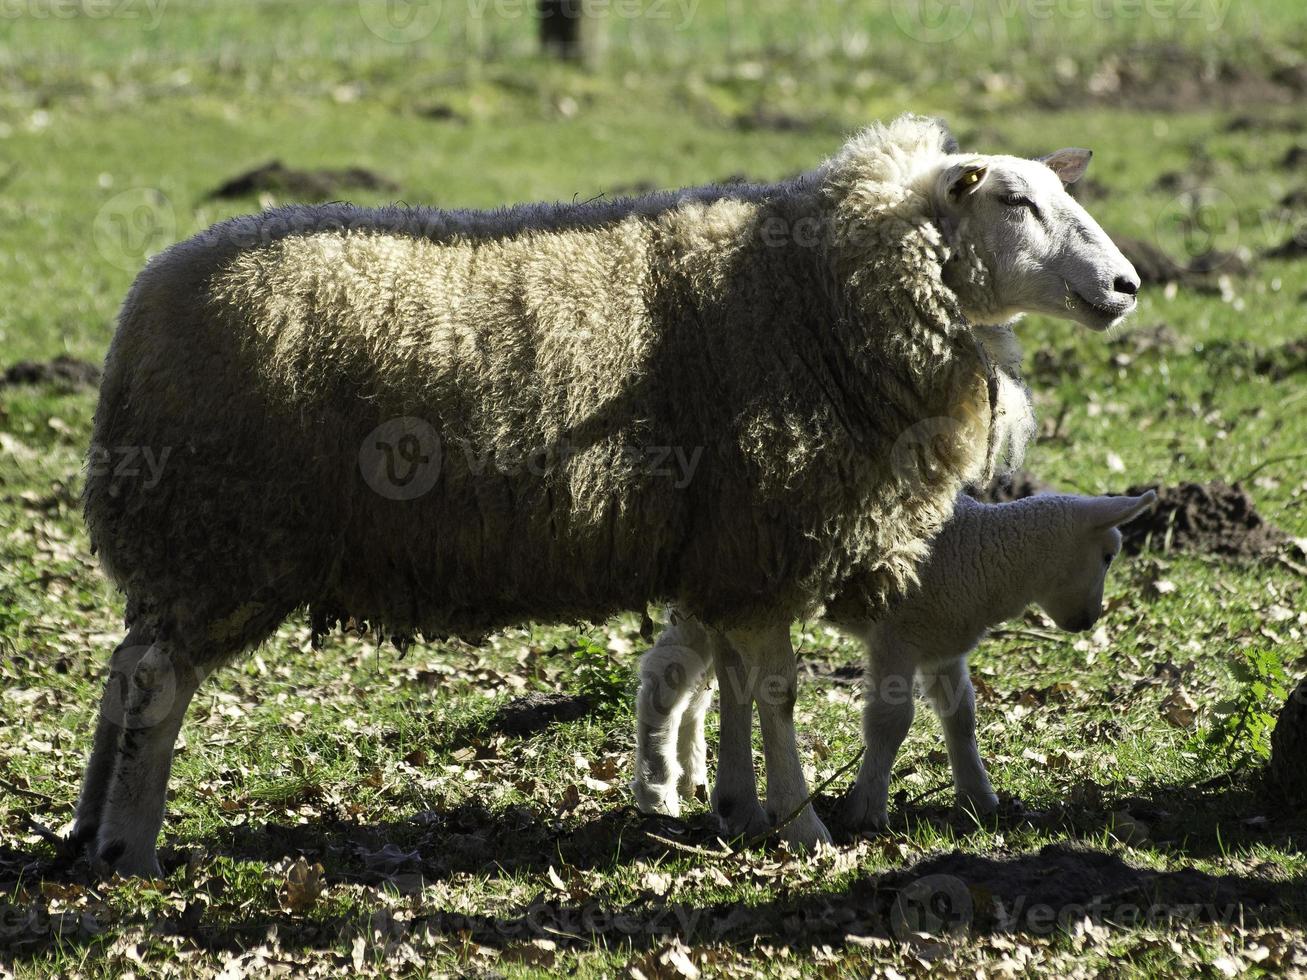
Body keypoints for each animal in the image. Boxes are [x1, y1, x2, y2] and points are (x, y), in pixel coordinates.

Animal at [632, 491, 1155, 836]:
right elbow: (891, 721)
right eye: (1109, 555)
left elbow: (962, 716)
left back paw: (690, 775)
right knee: (667, 674)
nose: (1088, 622)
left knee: (696, 684)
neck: (981, 554)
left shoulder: (943, 644)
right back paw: (657, 789)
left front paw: (978, 797)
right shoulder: (895, 638)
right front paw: (866, 810)